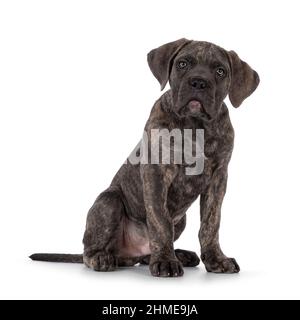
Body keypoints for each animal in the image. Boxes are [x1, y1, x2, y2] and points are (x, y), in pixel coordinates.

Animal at [31, 38, 260, 276]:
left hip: (180, 220)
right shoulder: (156, 172)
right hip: (109, 201)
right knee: (90, 251)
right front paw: (166, 261)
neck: (196, 125)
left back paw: (179, 255)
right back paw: (103, 258)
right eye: (182, 64)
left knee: (148, 252)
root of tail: (128, 255)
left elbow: (211, 223)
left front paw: (216, 259)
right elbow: (160, 221)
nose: (198, 82)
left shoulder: (218, 179)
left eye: (220, 71)